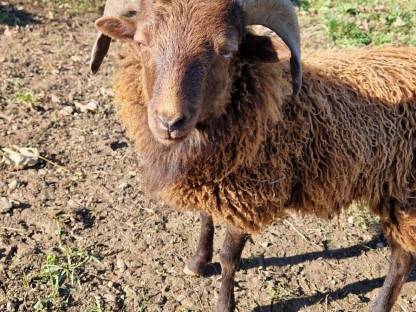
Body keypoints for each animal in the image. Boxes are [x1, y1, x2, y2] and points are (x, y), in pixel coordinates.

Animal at [90, 0, 416, 312]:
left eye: (227, 50)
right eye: (141, 42)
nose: (169, 122)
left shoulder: (247, 197)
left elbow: (229, 257)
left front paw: (224, 304)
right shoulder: (211, 182)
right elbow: (206, 221)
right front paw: (197, 263)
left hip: (404, 197)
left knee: (403, 257)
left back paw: (379, 305)